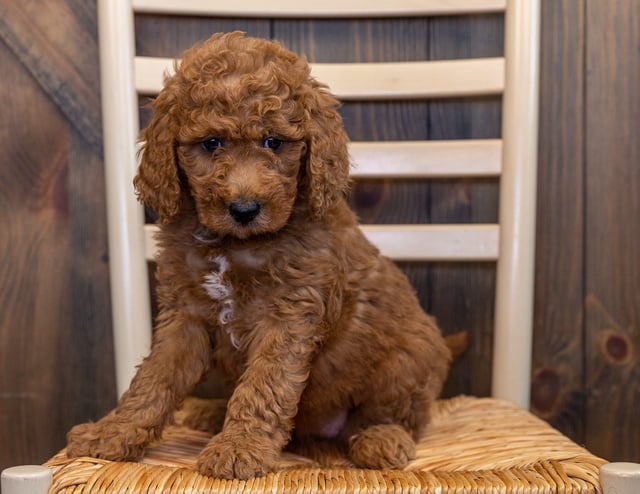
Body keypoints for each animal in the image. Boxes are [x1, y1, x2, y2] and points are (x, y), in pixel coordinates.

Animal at [66, 30, 450, 478]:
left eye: (274, 142)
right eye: (211, 143)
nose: (245, 209)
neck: (236, 244)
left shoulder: (289, 315)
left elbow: (264, 385)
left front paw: (239, 448)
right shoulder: (185, 315)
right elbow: (152, 380)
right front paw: (110, 433)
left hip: (410, 355)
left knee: (398, 414)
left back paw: (382, 438)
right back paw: (211, 414)